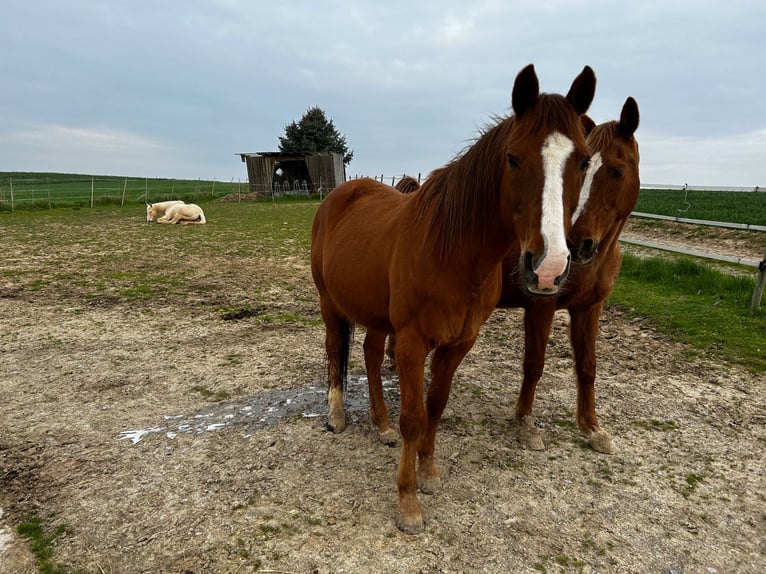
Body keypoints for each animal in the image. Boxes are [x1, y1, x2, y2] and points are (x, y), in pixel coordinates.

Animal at [312, 63, 600, 536]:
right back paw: (337, 415)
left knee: (370, 355)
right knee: (336, 348)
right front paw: (408, 502)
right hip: (329, 303)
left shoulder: (459, 342)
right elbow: (414, 415)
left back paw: (381, 425)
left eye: (583, 160)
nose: (548, 267)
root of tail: (340, 194)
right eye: (512, 158)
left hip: (375, 313)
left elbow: (435, 406)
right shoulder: (412, 342)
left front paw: (428, 472)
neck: (451, 252)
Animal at [504, 98, 640, 454]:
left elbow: (587, 366)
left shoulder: (589, 309)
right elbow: (534, 363)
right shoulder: (541, 305)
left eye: (618, 171)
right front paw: (525, 424)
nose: (577, 242)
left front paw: (592, 427)